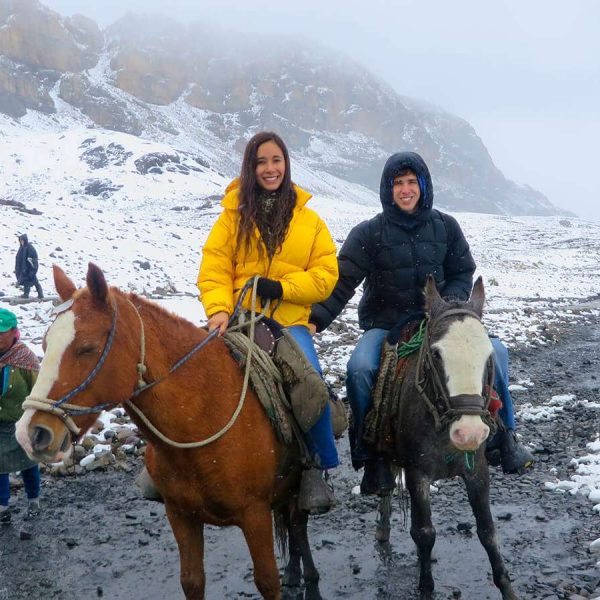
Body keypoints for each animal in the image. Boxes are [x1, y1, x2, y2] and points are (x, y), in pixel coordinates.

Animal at [15, 264, 324, 600]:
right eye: (45, 345)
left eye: (87, 348)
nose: (31, 433)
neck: (202, 417)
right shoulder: (180, 515)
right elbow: (192, 580)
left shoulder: (254, 514)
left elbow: (268, 580)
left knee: (298, 525)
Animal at [378, 276, 516, 600]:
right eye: (437, 354)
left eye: (488, 356)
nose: (469, 433)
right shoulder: (417, 473)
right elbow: (425, 533)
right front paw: (426, 588)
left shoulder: (477, 471)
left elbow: (488, 531)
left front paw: (507, 588)